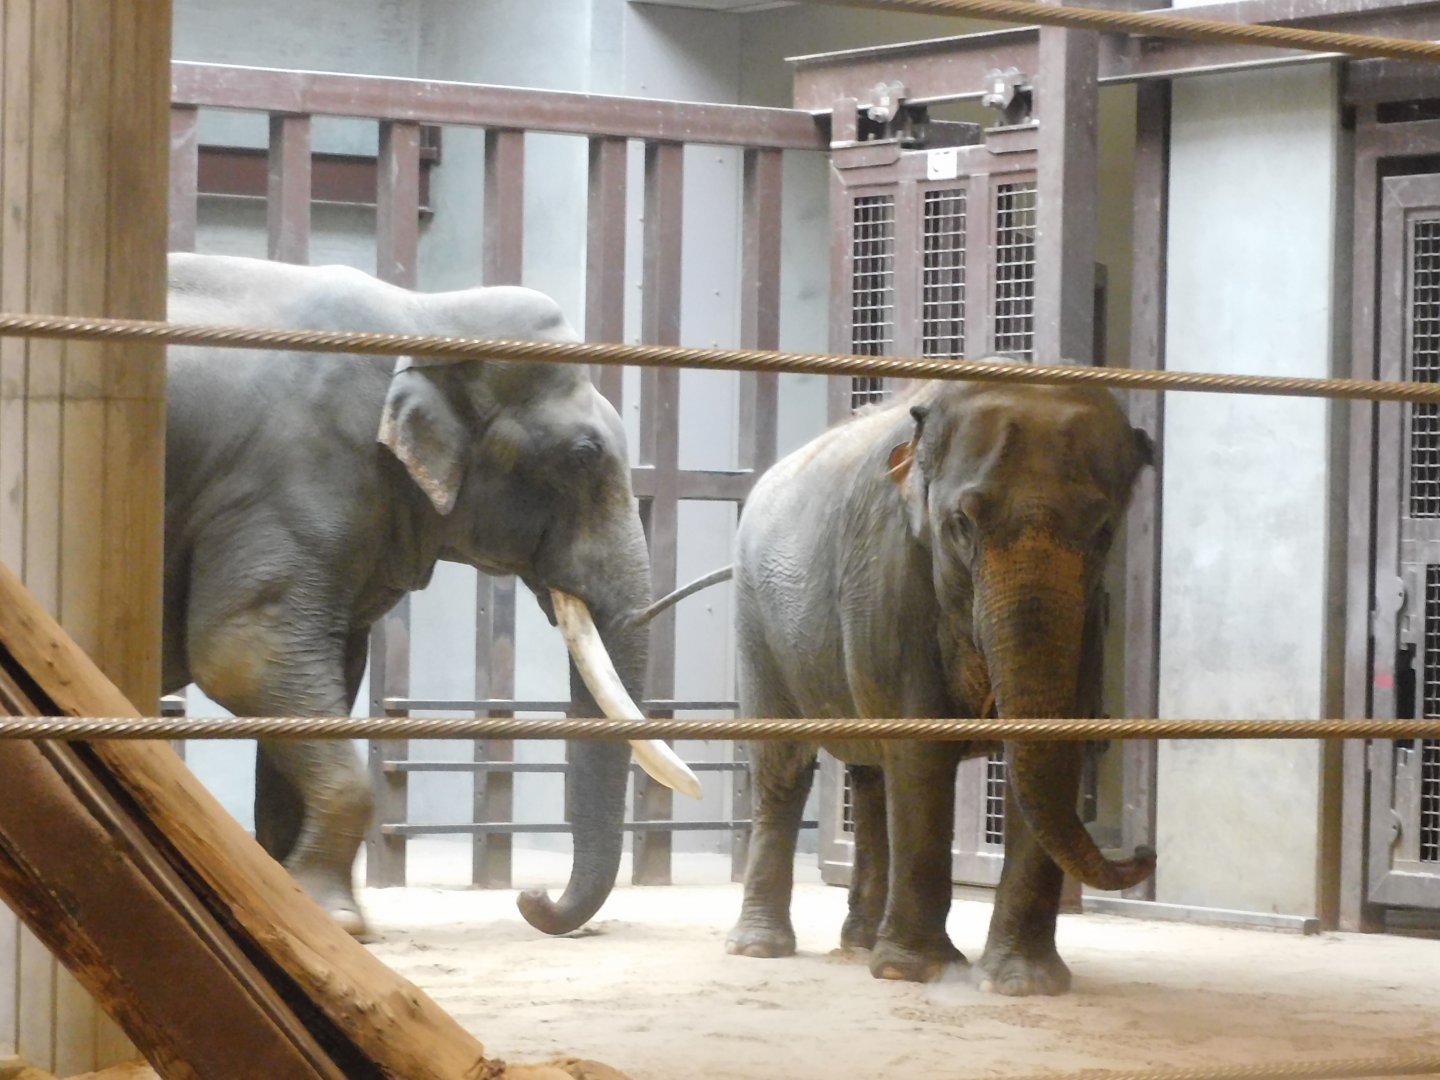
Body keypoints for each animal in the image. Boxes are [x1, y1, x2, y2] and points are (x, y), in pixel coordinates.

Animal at [162, 252, 696, 938]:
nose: (531, 897)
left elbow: (315, 675)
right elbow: (241, 655)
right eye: (583, 455)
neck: (425, 314)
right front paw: (338, 919)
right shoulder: (288, 478)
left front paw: (296, 901)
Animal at [725, 376, 1155, 995]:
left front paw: (1022, 983)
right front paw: (914, 970)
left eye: (1103, 532)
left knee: (870, 774)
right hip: (755, 623)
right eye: (962, 524)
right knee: (784, 769)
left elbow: (1054, 750)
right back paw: (760, 948)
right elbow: (921, 751)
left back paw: (859, 942)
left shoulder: (1089, 614)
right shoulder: (889, 574)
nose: (1144, 850)